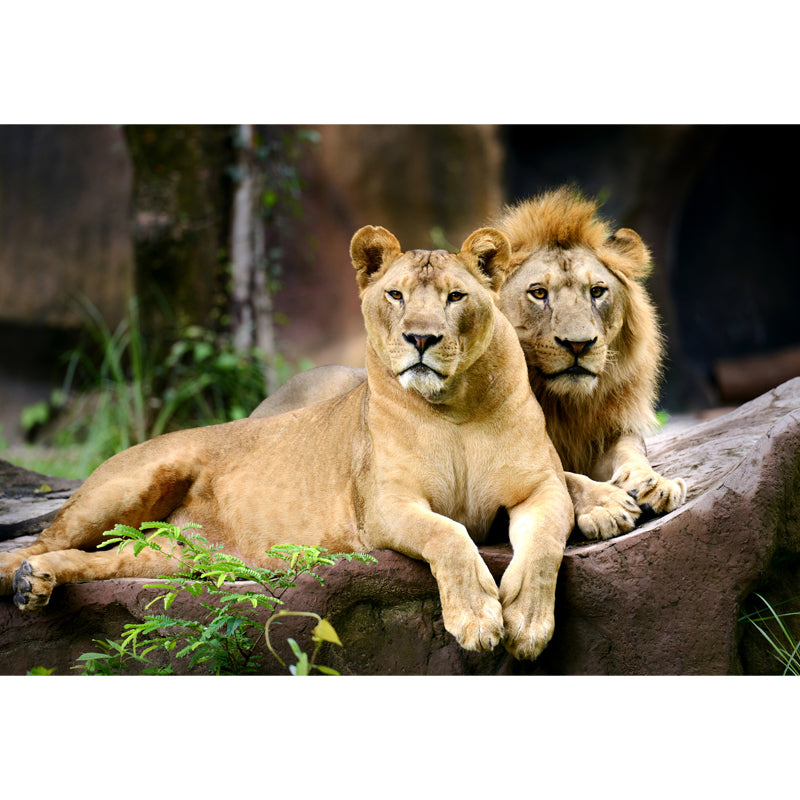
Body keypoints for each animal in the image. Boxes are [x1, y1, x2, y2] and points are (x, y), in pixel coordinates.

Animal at [0, 225, 573, 660]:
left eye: (456, 297)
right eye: (396, 295)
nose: (421, 338)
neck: (455, 408)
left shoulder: (543, 489)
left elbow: (545, 545)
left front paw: (527, 624)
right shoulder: (384, 506)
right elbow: (450, 536)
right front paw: (478, 618)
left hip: (167, 557)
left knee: (97, 560)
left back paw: (38, 582)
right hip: (128, 486)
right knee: (44, 540)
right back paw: (19, 576)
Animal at [252, 188, 686, 540]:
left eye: (597, 291)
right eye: (538, 293)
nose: (578, 345)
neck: (562, 402)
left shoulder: (606, 428)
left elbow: (632, 450)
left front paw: (654, 483)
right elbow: (564, 476)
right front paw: (604, 506)